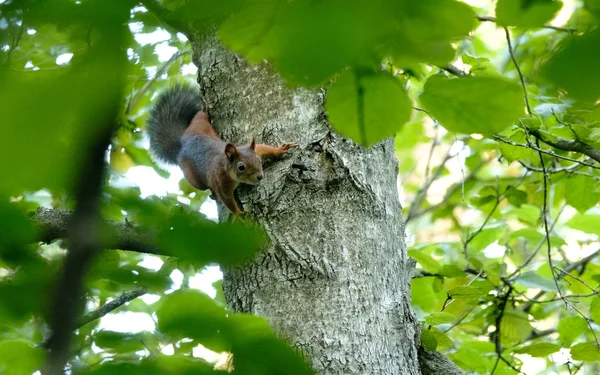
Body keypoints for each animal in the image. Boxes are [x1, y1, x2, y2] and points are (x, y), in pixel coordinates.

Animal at [148, 83, 298, 216]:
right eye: (241, 167)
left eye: (259, 160)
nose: (260, 176)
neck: (226, 164)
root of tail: (183, 143)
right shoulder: (220, 181)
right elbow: (227, 200)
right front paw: (238, 215)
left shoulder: (250, 148)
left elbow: (263, 147)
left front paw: (280, 149)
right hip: (191, 175)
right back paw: (211, 194)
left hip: (199, 123)